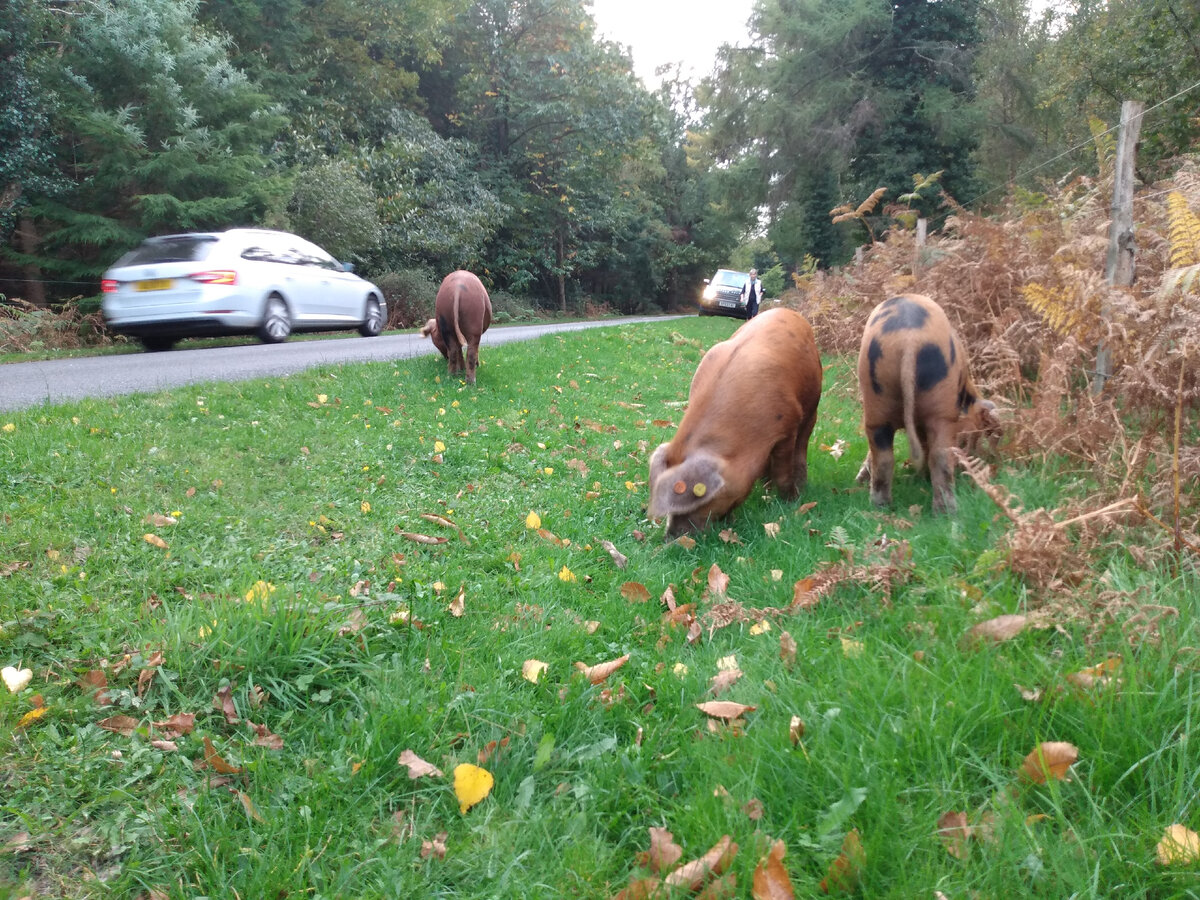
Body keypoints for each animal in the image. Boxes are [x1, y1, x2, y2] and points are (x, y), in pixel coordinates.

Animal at [648, 307, 825, 540]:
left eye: (699, 497)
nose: (671, 538)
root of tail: (787, 310)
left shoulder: (787, 426)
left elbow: (783, 471)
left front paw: (791, 501)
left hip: (812, 406)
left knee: (802, 444)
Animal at [854, 292, 1003, 511]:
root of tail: (909, 338)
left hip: (876, 397)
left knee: (883, 456)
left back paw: (881, 506)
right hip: (941, 406)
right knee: (940, 454)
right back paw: (948, 510)